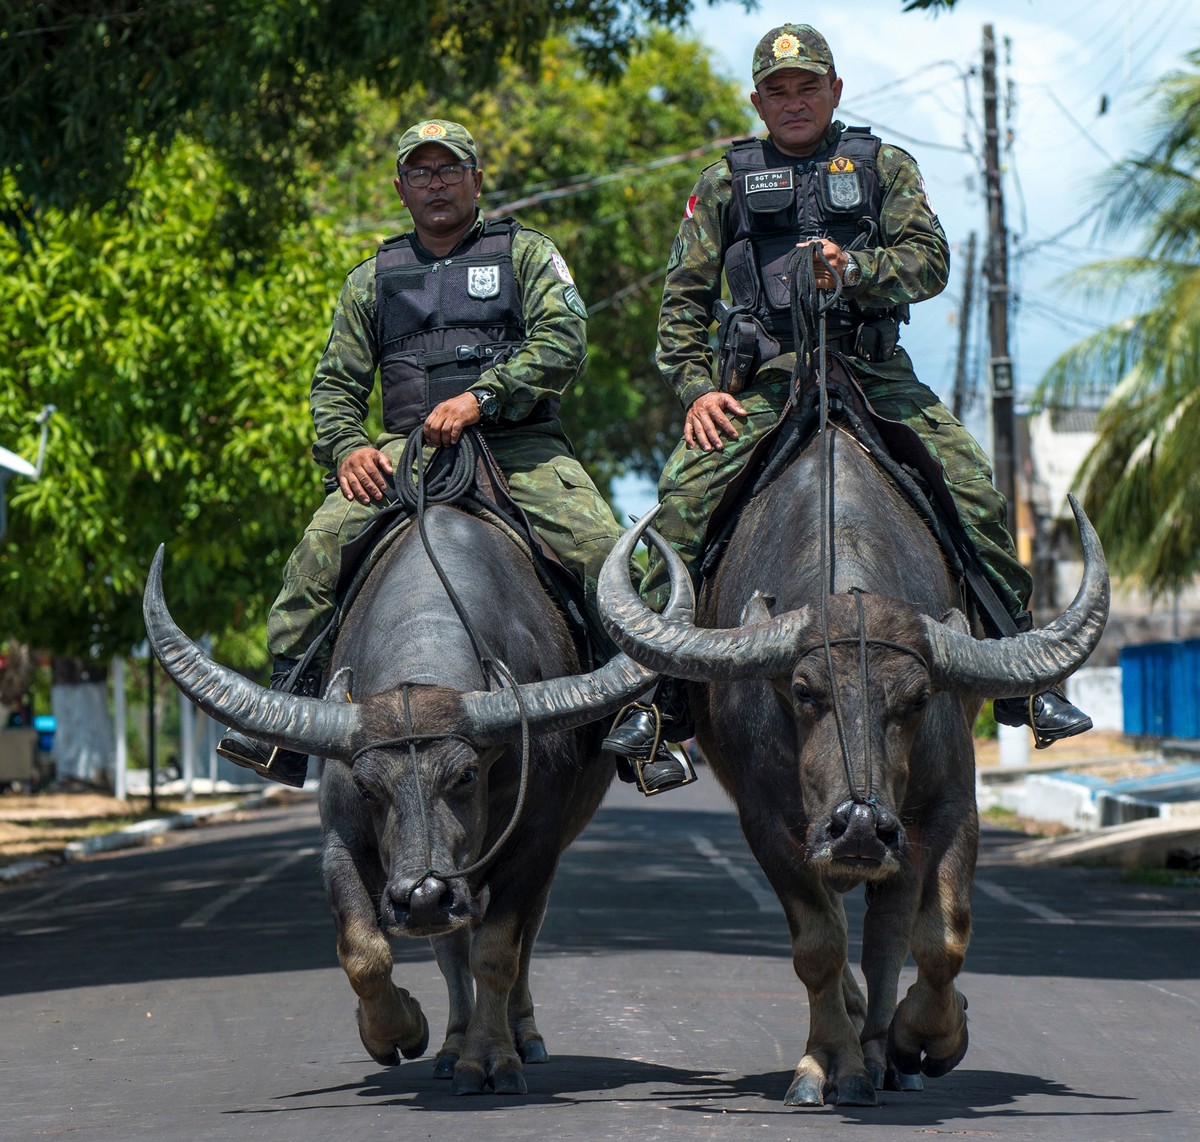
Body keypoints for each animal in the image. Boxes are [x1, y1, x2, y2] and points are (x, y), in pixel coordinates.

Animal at [144, 508, 696, 1098]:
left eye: (466, 774)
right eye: (367, 788)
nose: (424, 896)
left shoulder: (536, 844)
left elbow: (497, 952)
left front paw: (493, 1058)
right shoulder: (342, 840)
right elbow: (363, 951)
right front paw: (399, 1031)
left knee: (520, 940)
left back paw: (521, 1036)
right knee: (449, 949)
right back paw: (451, 1046)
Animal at [595, 419, 1108, 1108]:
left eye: (917, 699)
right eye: (804, 690)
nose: (860, 826)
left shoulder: (945, 808)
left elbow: (940, 938)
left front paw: (924, 1039)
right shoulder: (770, 823)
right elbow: (818, 945)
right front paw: (828, 1064)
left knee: (888, 935)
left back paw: (887, 1050)